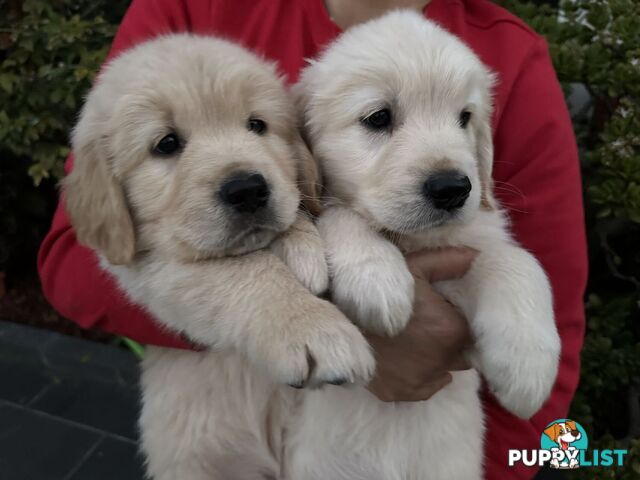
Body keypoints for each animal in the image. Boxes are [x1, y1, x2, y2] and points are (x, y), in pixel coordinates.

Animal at [62, 34, 372, 480]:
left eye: (257, 125)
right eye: (166, 144)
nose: (247, 190)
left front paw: (304, 247)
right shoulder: (144, 262)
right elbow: (239, 269)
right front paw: (313, 328)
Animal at [290, 11, 560, 480]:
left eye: (464, 117)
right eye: (378, 117)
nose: (453, 188)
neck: (410, 241)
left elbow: (518, 262)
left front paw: (527, 363)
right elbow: (337, 213)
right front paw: (376, 280)